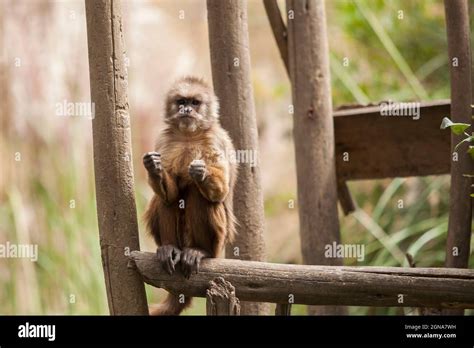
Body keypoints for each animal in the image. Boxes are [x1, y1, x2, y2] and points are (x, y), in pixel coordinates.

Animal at [142, 76, 236, 316]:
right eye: (182, 101)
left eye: (195, 103)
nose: (186, 109)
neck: (188, 136)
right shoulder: (164, 140)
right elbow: (171, 193)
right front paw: (154, 169)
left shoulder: (214, 140)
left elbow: (220, 191)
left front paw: (201, 173)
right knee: (166, 199)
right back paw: (169, 248)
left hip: (218, 242)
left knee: (198, 194)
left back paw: (199, 251)